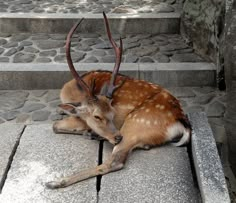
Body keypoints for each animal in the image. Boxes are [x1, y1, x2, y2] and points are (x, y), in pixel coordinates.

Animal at [45, 12, 190, 190]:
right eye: (97, 116)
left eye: (113, 113)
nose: (117, 137)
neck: (72, 92)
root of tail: (181, 120)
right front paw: (90, 132)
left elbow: (55, 125)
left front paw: (88, 131)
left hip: (135, 123)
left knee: (115, 162)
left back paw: (56, 181)